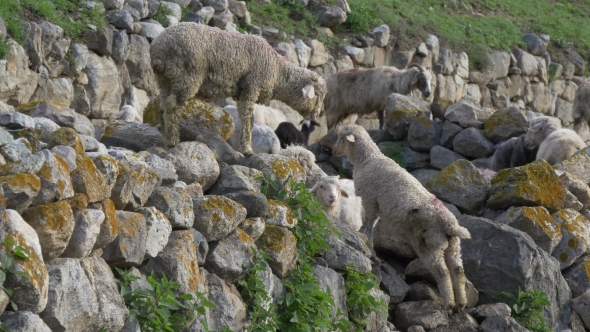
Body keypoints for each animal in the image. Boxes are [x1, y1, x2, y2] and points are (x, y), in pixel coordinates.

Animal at [149, 23, 328, 156]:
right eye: (318, 95)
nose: (318, 115)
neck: (278, 72)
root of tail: (159, 50)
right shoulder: (251, 87)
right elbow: (248, 119)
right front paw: (247, 149)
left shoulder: (242, 92)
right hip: (188, 75)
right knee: (173, 105)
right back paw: (172, 140)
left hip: (165, 80)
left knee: (163, 104)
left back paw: (164, 136)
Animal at [332, 123, 472, 312]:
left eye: (340, 138)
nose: (333, 151)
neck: (367, 159)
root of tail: (449, 224)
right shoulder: (377, 206)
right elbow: (373, 224)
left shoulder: (370, 201)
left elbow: (369, 224)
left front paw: (367, 242)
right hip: (454, 246)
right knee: (458, 270)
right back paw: (461, 303)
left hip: (428, 244)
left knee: (442, 272)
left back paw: (448, 303)